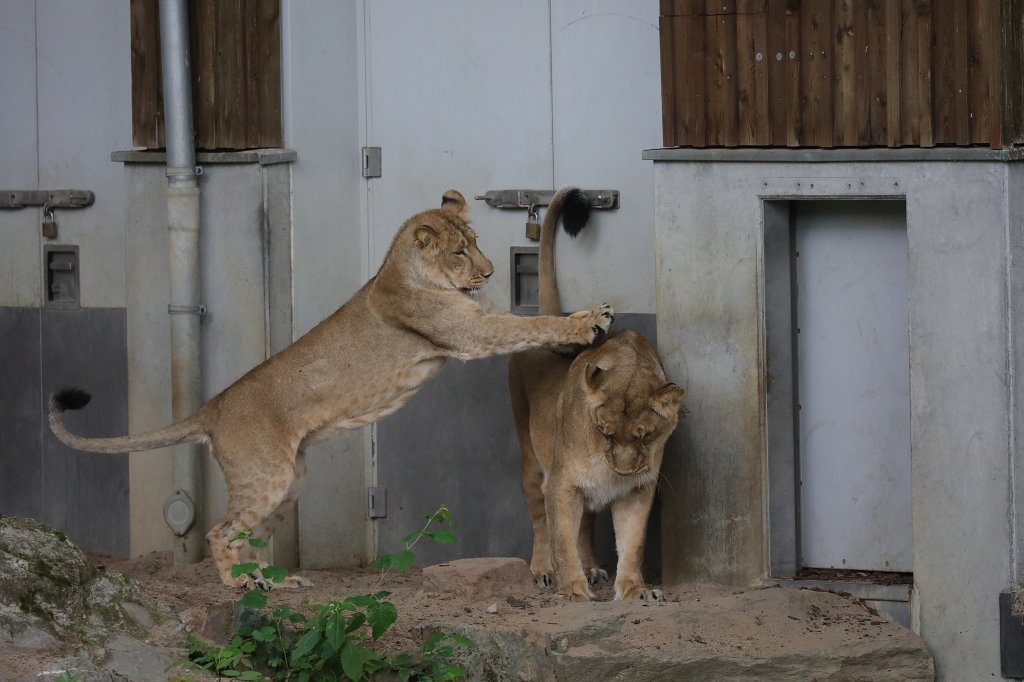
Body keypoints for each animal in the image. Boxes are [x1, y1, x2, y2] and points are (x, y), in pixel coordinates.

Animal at [49, 190, 614, 589]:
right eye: (460, 251)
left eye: (475, 243)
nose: (491, 270)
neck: (405, 270)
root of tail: (211, 407)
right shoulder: (468, 333)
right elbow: (526, 326)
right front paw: (587, 321)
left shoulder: (477, 318)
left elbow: (529, 323)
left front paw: (578, 328)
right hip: (267, 476)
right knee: (217, 533)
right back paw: (236, 584)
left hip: (289, 483)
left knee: (253, 537)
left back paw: (274, 582)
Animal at [507, 187, 683, 601]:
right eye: (604, 433)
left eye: (646, 437)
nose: (621, 469)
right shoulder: (561, 483)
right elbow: (560, 539)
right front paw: (572, 590)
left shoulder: (638, 489)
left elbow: (632, 543)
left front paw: (635, 590)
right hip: (531, 458)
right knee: (539, 519)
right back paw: (542, 571)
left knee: (585, 523)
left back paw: (592, 568)